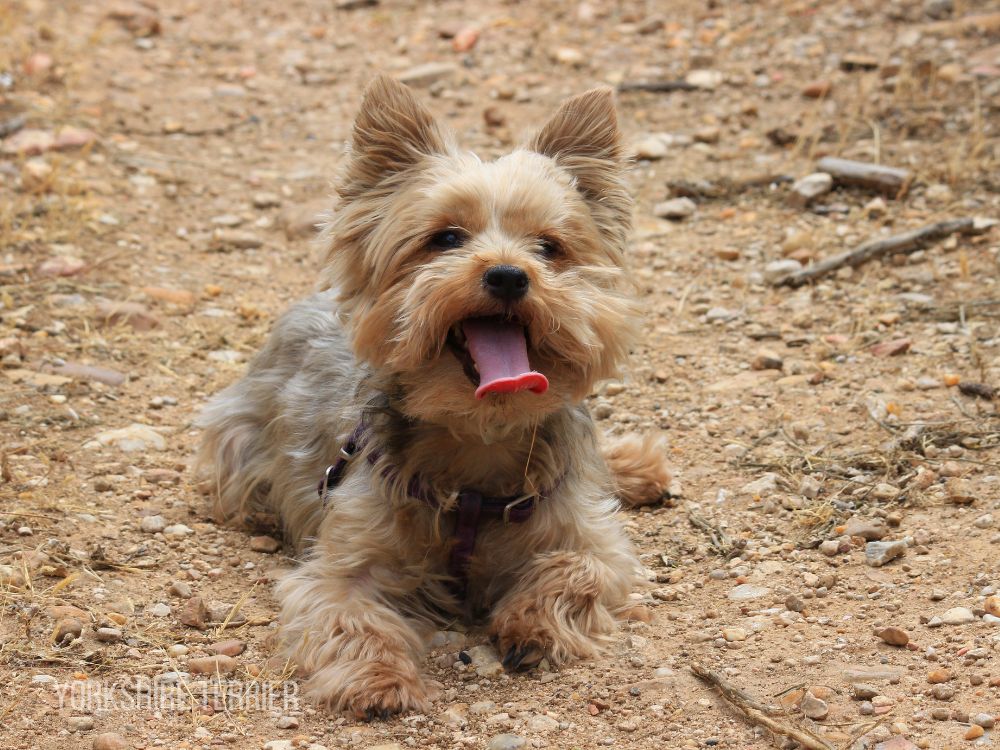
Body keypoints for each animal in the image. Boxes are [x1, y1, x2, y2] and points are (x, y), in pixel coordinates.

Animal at [198, 75, 668, 716]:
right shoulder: (341, 562)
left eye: (548, 247)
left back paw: (637, 468)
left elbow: (576, 570)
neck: (479, 437)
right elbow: (350, 614)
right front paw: (378, 680)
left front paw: (531, 625)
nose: (508, 274)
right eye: (445, 238)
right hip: (237, 438)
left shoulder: (591, 539)